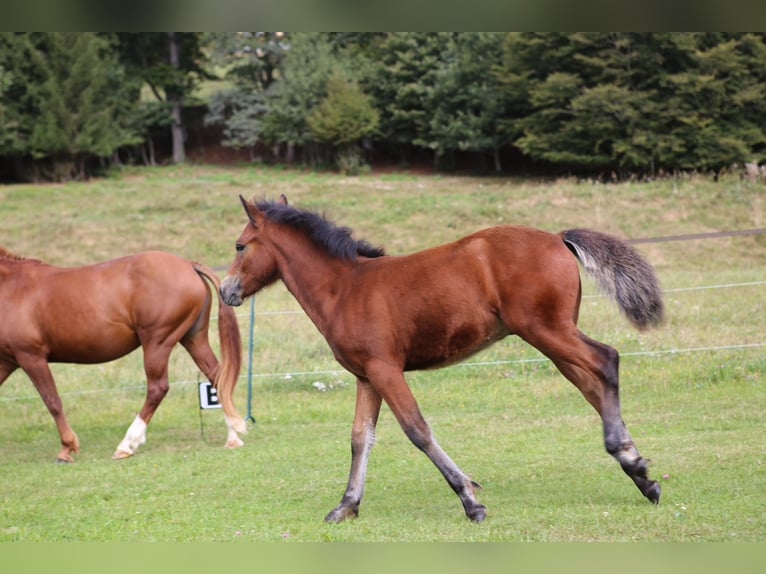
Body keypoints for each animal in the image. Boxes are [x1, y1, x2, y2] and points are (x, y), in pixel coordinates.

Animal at [0, 248, 246, 464]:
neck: (10, 287)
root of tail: (188, 264)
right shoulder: (7, 362)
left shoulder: (31, 357)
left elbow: (52, 401)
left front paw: (66, 448)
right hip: (193, 339)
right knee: (218, 377)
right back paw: (233, 436)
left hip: (157, 342)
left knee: (157, 388)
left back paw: (127, 444)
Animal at [222, 196, 664, 524]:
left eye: (240, 245)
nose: (227, 291)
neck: (344, 288)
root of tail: (557, 238)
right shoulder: (366, 377)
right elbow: (360, 438)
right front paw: (346, 505)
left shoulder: (386, 370)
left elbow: (417, 430)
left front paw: (470, 498)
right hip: (552, 338)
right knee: (593, 385)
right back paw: (640, 472)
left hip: (548, 331)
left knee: (607, 360)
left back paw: (627, 456)